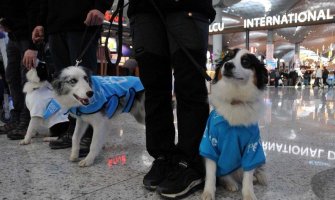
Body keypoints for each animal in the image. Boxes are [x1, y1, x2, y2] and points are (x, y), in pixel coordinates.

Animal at [201, 48, 270, 200]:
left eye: (245, 62)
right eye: (227, 57)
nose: (228, 65)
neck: (235, 99)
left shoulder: (252, 146)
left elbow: (248, 176)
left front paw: (249, 194)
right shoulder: (210, 142)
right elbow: (211, 173)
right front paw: (208, 192)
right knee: (224, 174)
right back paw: (230, 183)